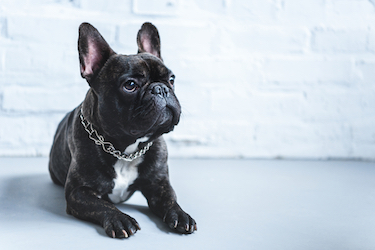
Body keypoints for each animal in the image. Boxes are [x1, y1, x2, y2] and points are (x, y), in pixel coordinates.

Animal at [47, 23, 197, 238]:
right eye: (130, 85)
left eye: (171, 79)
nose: (160, 88)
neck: (125, 150)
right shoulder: (78, 192)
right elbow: (102, 205)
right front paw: (120, 219)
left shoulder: (159, 185)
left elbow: (170, 199)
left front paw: (180, 214)